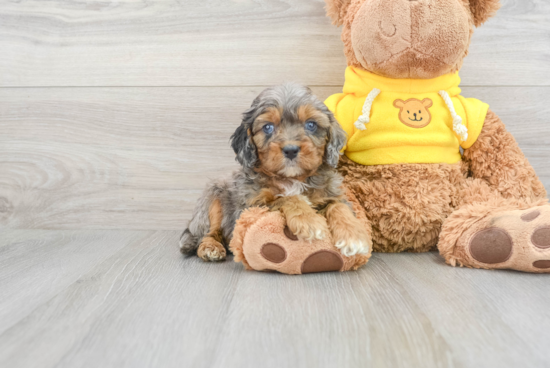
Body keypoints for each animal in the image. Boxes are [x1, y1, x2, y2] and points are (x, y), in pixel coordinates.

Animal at [181, 83, 370, 262]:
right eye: (268, 127)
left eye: (311, 125)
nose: (291, 150)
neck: (292, 178)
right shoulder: (249, 207)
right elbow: (287, 198)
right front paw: (309, 220)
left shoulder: (332, 193)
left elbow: (338, 206)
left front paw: (354, 235)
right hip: (213, 198)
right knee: (208, 233)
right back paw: (210, 247)